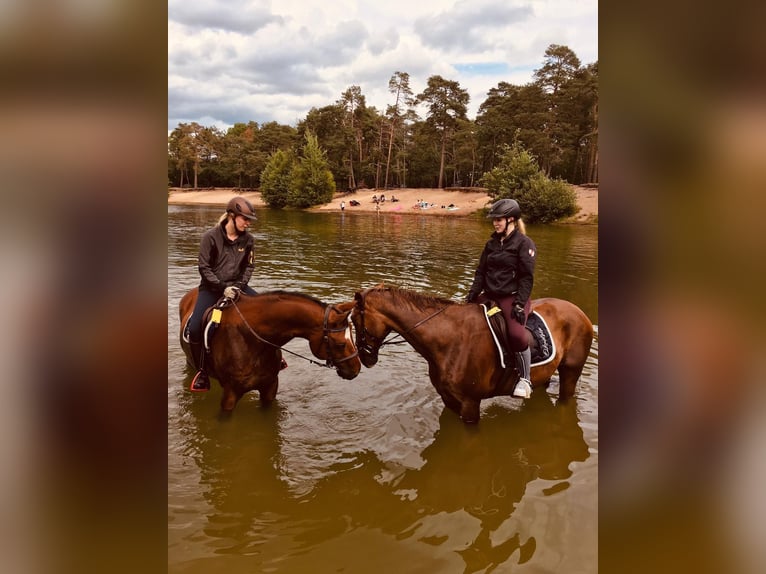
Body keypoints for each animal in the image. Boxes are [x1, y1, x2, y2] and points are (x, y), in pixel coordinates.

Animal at [352, 286, 596, 426]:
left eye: (355, 321)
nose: (365, 358)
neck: (447, 340)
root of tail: (578, 311)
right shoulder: (449, 400)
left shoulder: (470, 404)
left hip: (571, 372)